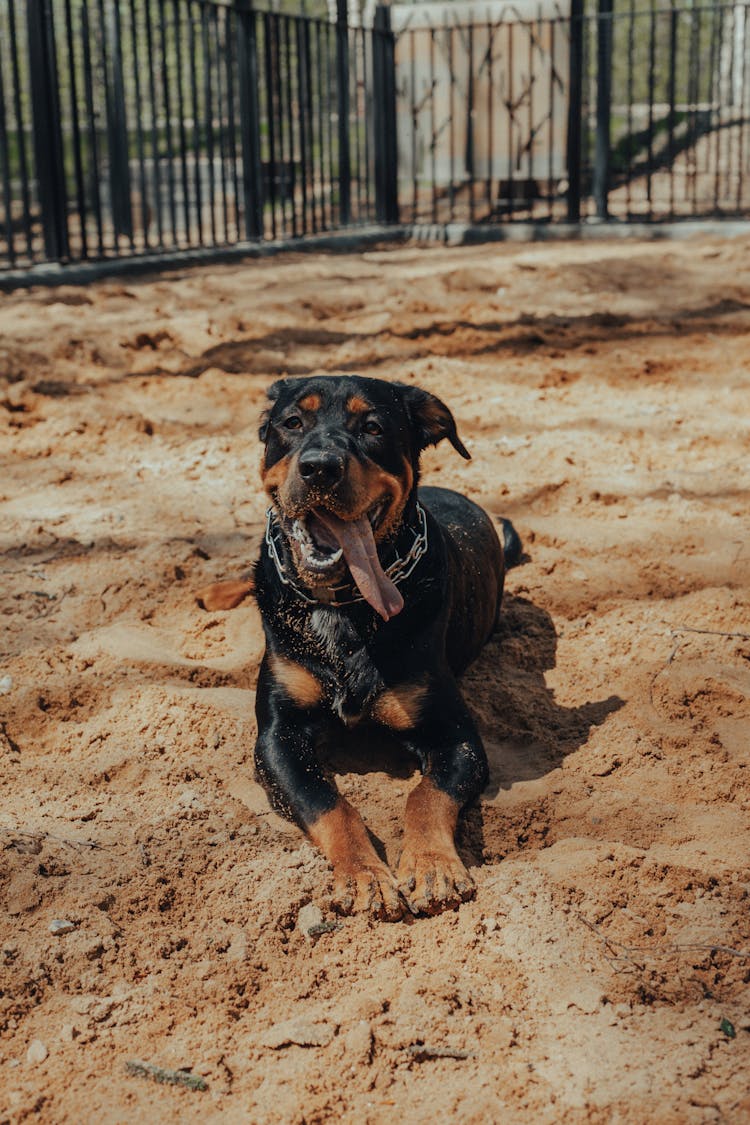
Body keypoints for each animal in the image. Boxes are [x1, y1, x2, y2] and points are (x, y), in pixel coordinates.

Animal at [203, 373, 521, 918]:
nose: (320, 467)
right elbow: (329, 804)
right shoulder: (278, 736)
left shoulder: (456, 737)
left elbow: (426, 796)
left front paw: (433, 865)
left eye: (372, 427)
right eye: (293, 422)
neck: (345, 606)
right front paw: (363, 875)